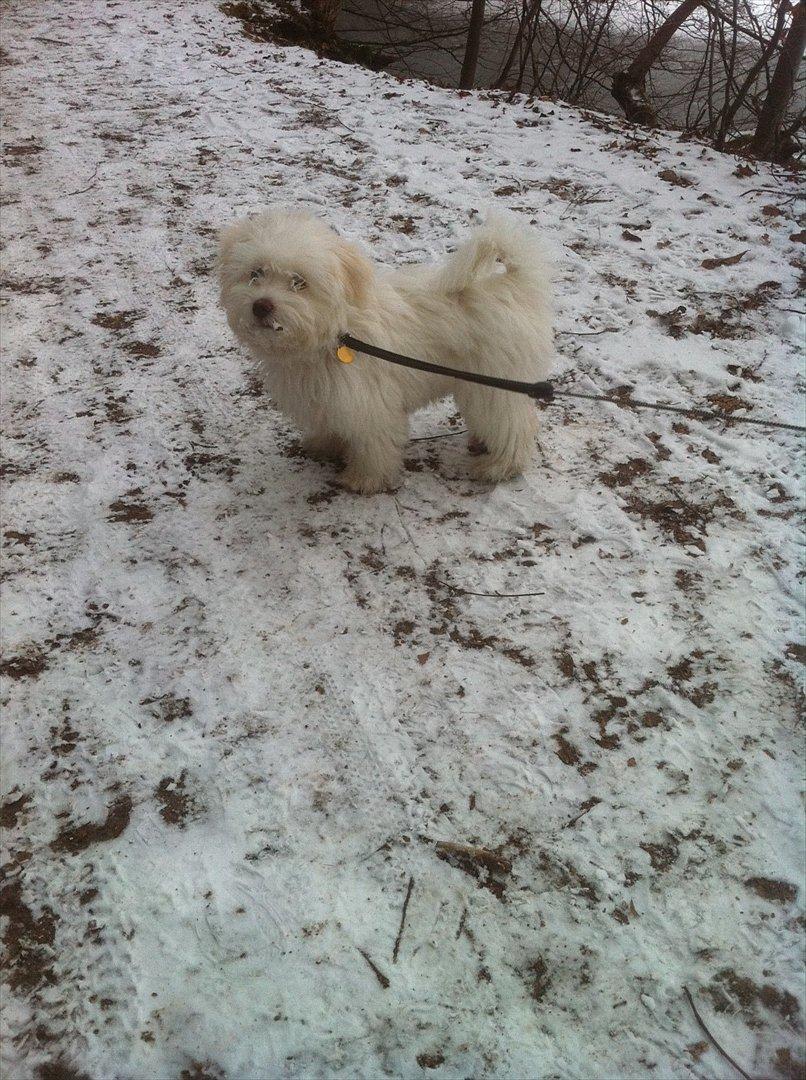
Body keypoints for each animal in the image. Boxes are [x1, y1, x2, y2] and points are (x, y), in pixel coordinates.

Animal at [217, 206, 548, 494]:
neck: (336, 334)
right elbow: (330, 424)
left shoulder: (370, 405)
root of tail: (513, 286)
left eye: (299, 282)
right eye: (255, 273)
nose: (261, 306)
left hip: (493, 383)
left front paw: (366, 479)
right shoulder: (327, 398)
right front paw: (324, 444)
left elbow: (374, 444)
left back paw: (499, 467)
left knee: (513, 424)